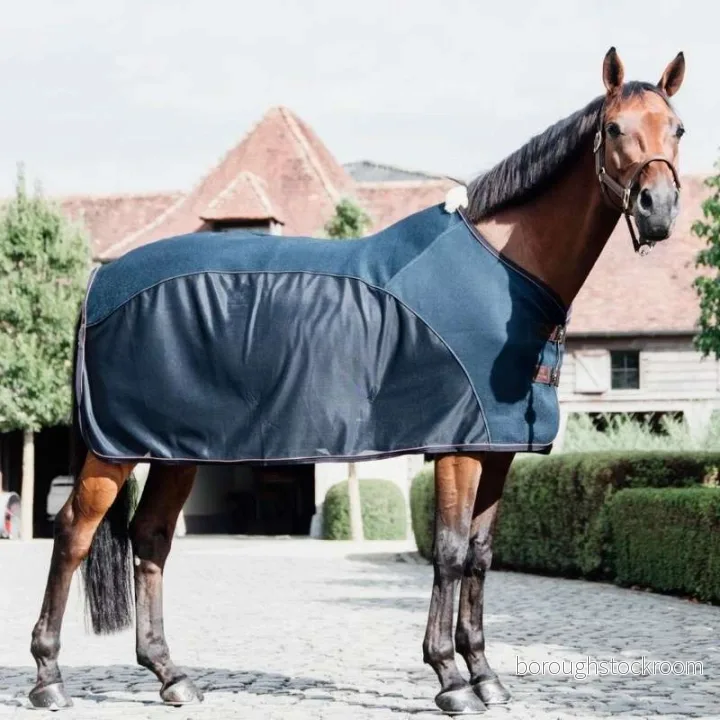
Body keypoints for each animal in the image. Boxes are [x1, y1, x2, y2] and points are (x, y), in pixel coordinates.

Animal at [28, 47, 686, 714]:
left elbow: (479, 557)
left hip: (176, 450)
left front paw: (485, 676)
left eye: (678, 128)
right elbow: (449, 552)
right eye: (614, 128)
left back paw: (171, 676)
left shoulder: (497, 449)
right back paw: (49, 678)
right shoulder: (458, 449)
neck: (502, 270)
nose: (657, 209)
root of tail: (99, 284)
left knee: (152, 537)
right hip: (116, 452)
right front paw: (449, 678)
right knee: (74, 532)